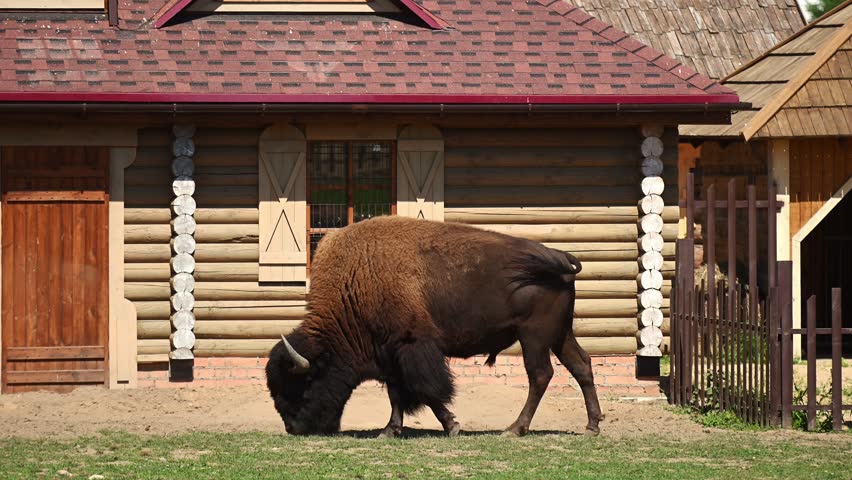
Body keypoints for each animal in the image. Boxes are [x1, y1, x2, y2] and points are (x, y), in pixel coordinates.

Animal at [265, 216, 602, 437]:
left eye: (303, 385)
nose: (293, 428)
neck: (357, 282)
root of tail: (561, 257)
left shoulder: (412, 347)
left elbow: (426, 390)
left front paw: (452, 426)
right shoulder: (390, 354)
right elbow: (397, 393)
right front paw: (390, 430)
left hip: (534, 336)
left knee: (540, 375)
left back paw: (514, 429)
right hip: (559, 334)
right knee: (581, 365)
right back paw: (591, 426)